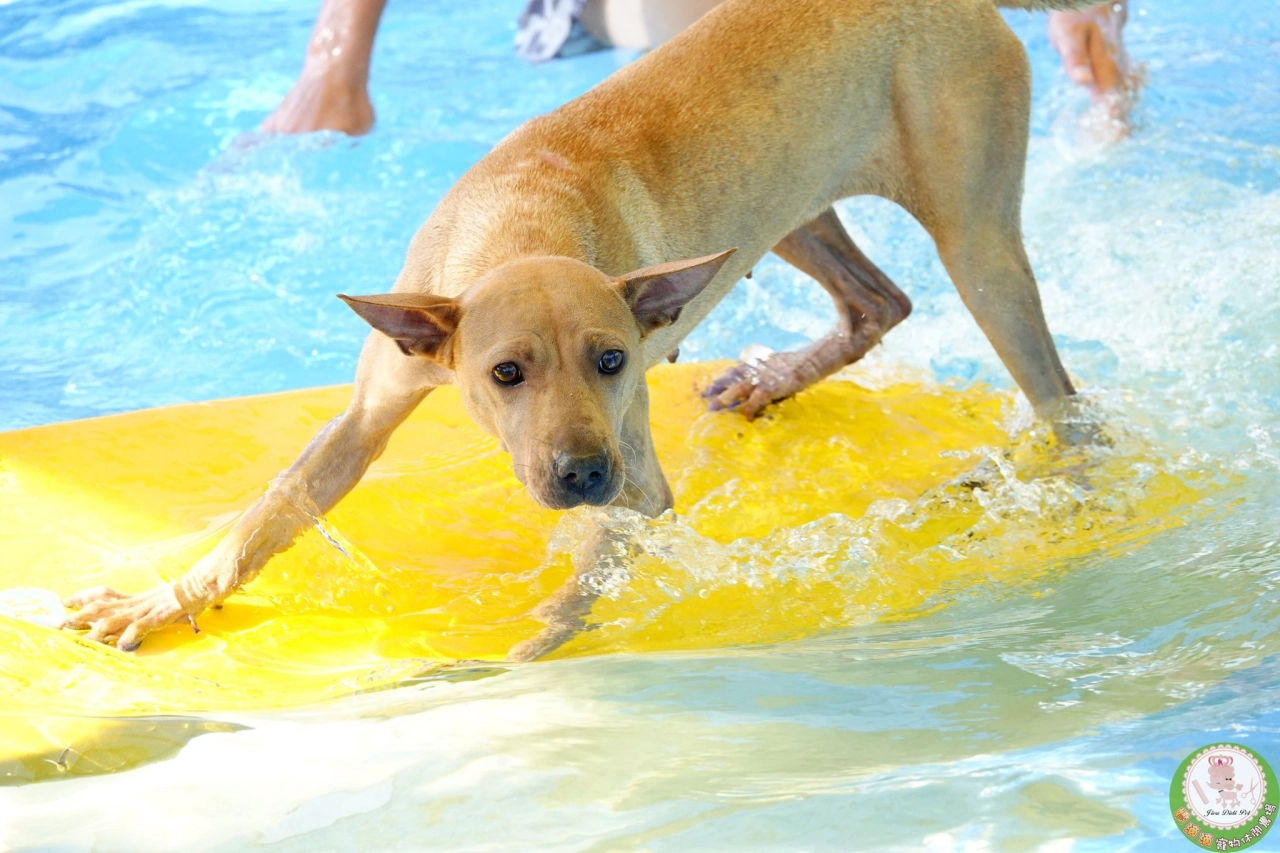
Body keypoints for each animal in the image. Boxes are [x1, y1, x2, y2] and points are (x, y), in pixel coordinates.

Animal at [62, 0, 1100, 653]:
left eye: (611, 359)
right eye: (505, 372)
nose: (582, 473)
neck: (521, 227)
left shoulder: (640, 485)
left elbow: (578, 589)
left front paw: (517, 662)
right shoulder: (365, 413)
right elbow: (267, 516)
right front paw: (162, 602)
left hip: (977, 244)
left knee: (1064, 398)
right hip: (789, 204)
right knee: (880, 301)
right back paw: (774, 378)